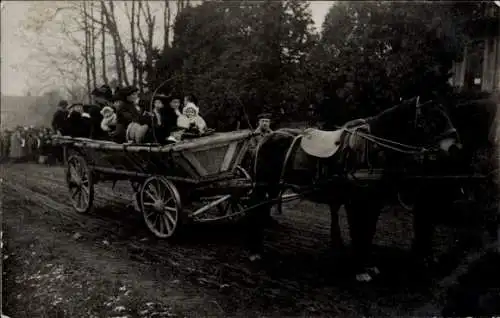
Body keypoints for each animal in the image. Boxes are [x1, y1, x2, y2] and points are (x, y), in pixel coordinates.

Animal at [248, 96, 462, 280]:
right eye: (432, 120)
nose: (455, 148)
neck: (373, 148)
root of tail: (267, 137)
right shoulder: (355, 201)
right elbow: (357, 230)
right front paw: (359, 269)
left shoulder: (374, 201)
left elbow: (369, 231)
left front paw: (368, 265)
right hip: (264, 184)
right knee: (256, 210)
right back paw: (255, 250)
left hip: (272, 186)